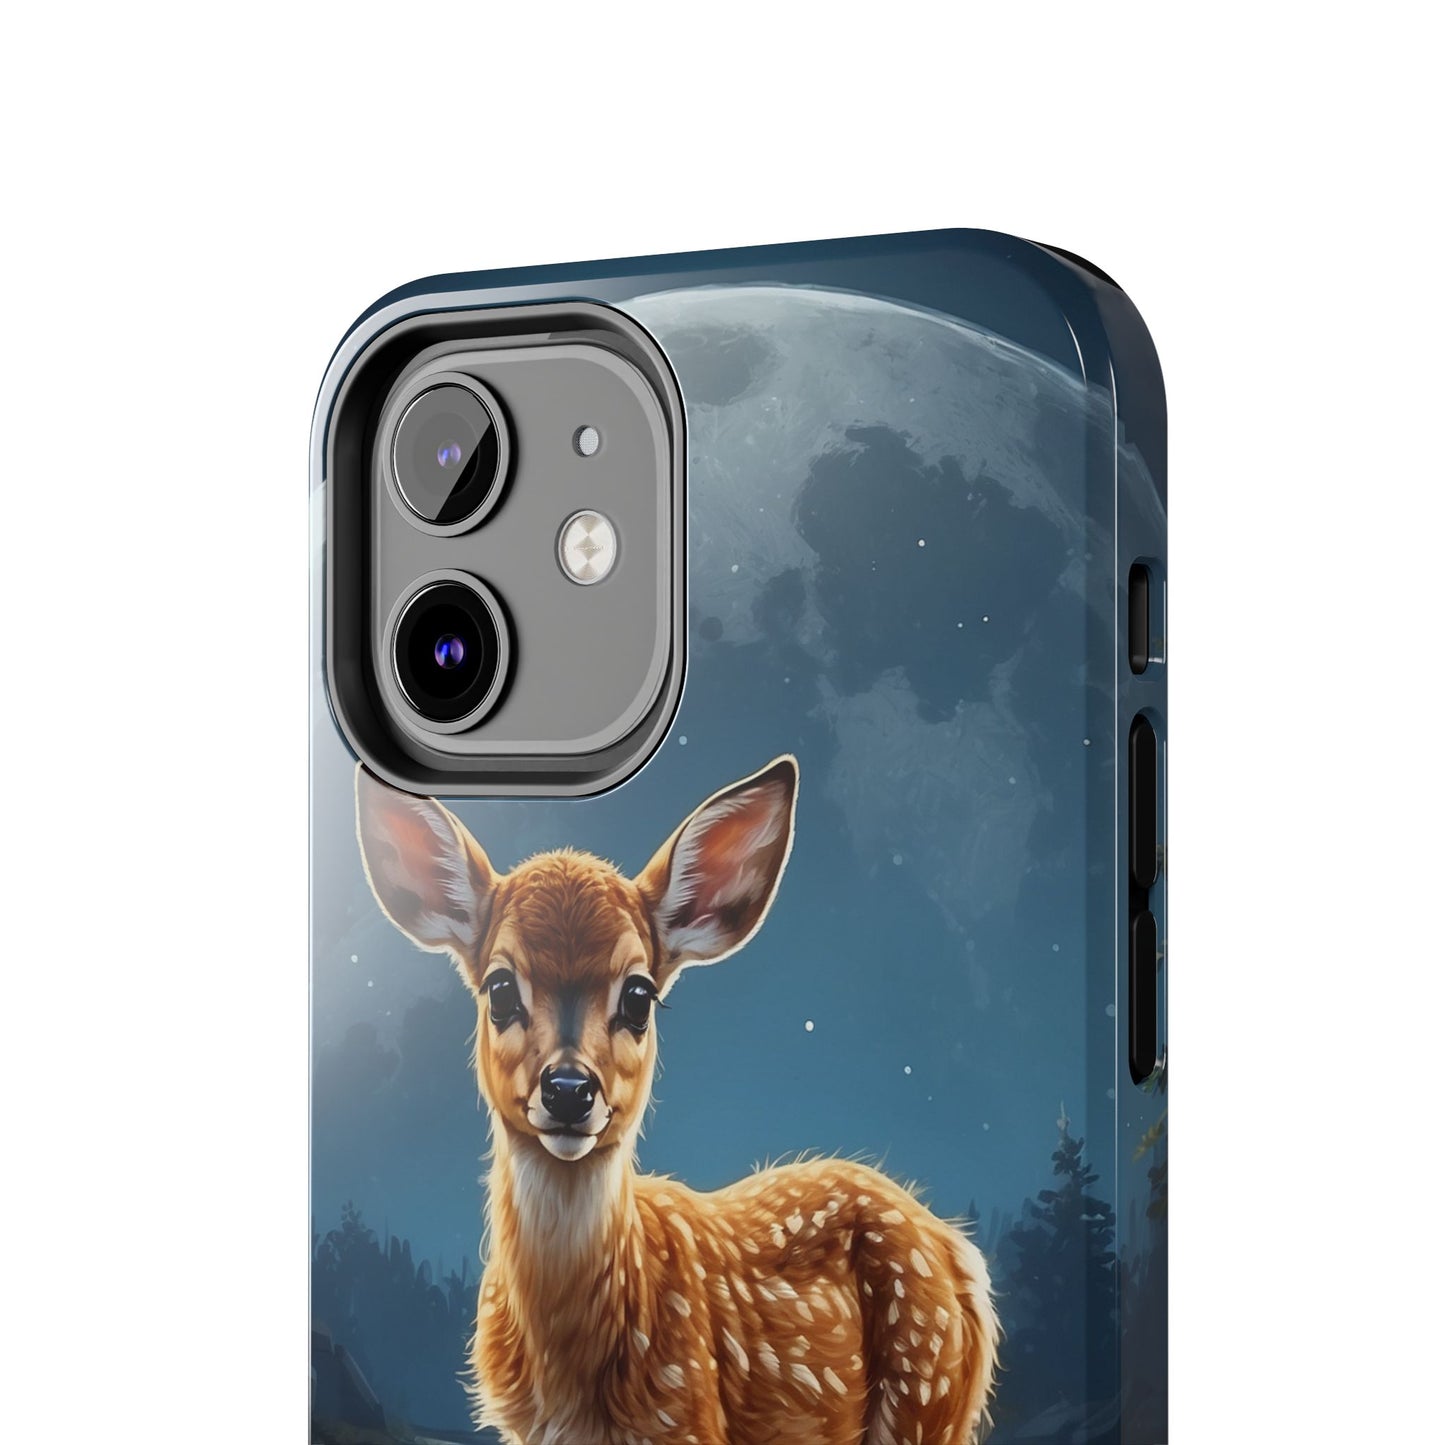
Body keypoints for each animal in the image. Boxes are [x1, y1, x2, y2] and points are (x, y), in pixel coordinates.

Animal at [355, 755, 999, 1445]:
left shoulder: (688, 1418)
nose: (569, 1090)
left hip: (925, 1392)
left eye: (639, 995)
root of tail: (962, 1256)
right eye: (500, 988)